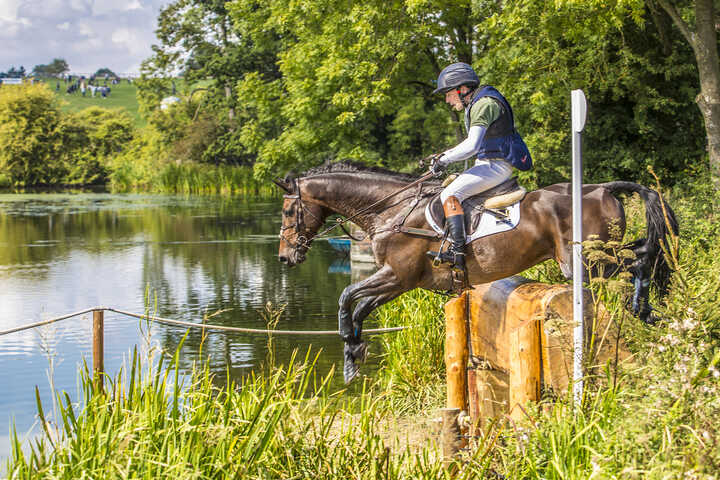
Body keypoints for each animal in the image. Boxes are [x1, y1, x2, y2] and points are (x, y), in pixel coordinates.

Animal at [272, 161, 676, 382]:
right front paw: (353, 355)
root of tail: (603, 188)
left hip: (586, 262)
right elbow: (357, 307)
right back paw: (645, 309)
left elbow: (346, 297)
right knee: (641, 253)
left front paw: (351, 348)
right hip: (594, 260)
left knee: (639, 261)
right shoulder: (398, 282)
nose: (284, 258)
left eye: (289, 211)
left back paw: (644, 309)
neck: (390, 208)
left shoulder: (397, 275)